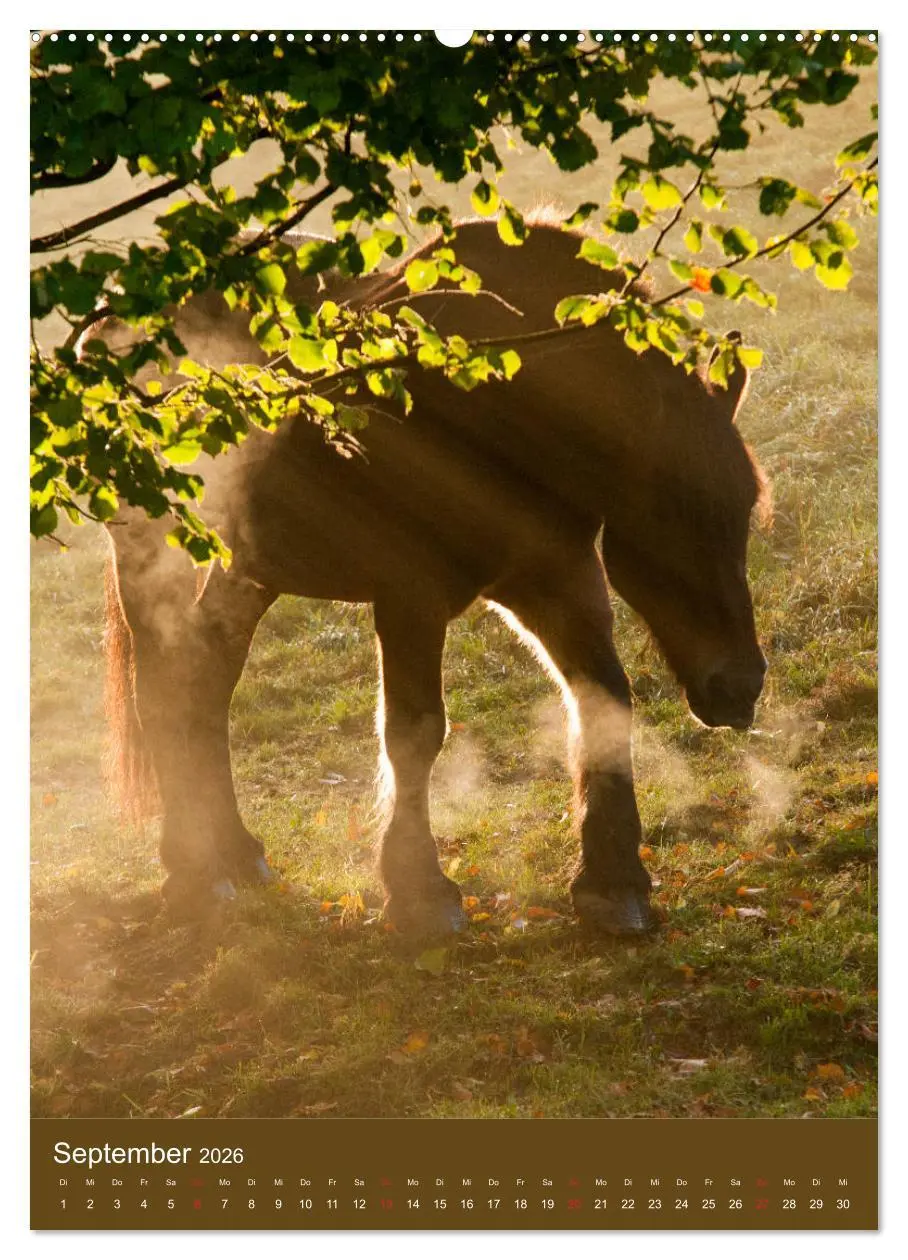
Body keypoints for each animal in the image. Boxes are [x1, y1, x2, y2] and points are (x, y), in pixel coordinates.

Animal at [101, 215, 770, 938]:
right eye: (671, 508)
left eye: (744, 508)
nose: (741, 686)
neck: (509, 404)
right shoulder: (409, 598)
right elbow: (415, 734)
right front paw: (419, 891)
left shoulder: (557, 581)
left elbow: (603, 705)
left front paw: (611, 881)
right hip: (154, 559)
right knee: (164, 692)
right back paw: (192, 870)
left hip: (246, 571)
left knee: (205, 686)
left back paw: (233, 852)